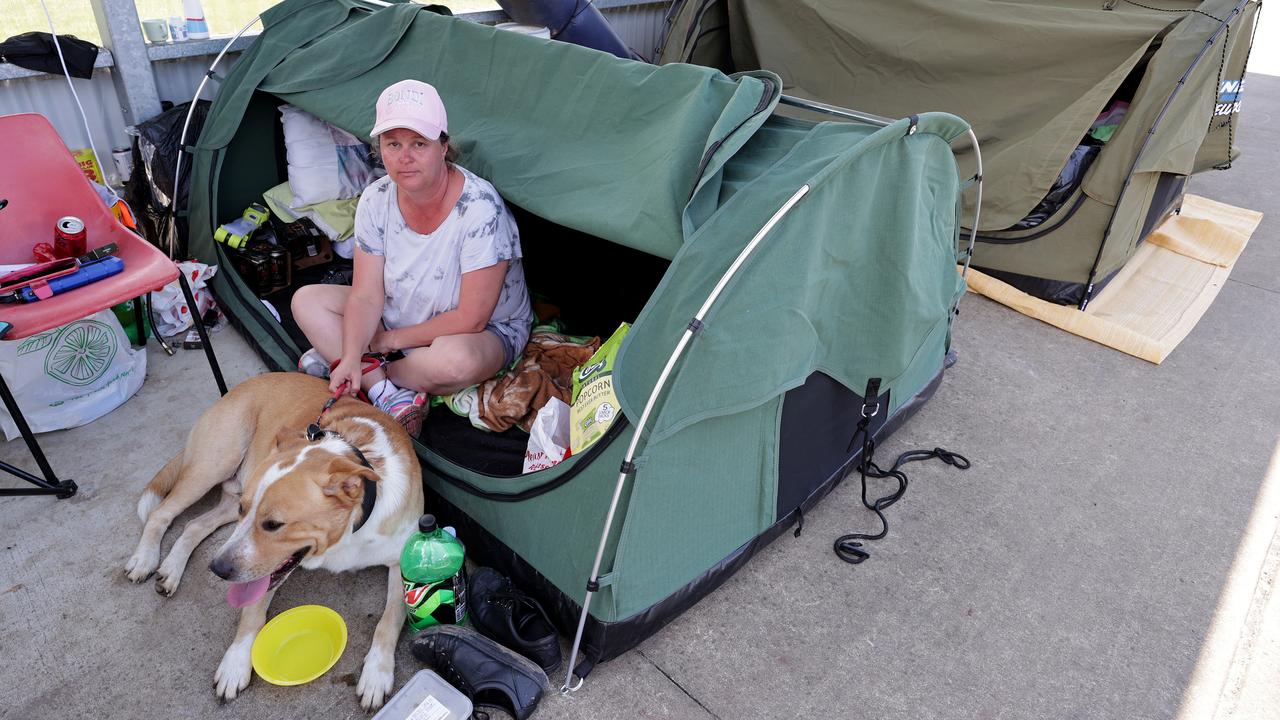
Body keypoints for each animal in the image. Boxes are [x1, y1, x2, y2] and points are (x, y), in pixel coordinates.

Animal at [124, 371, 424, 707]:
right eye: (248, 511)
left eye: (273, 524)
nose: (218, 570)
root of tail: (237, 389)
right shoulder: (258, 562)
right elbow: (251, 612)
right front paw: (235, 661)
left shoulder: (403, 559)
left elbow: (391, 618)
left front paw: (376, 673)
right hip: (214, 467)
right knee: (160, 513)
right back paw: (145, 558)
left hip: (226, 497)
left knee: (193, 526)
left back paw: (171, 569)